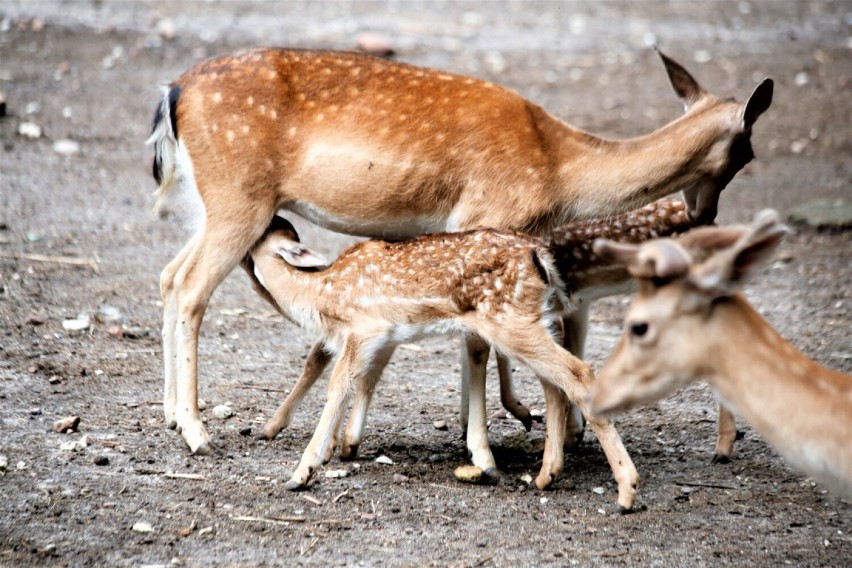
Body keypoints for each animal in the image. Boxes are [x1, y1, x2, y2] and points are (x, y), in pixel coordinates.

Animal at [146, 47, 772, 462]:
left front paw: (501, 421)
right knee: (193, 288)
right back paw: (198, 432)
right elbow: (477, 340)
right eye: (747, 151)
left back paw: (172, 415)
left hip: (211, 203)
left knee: (170, 275)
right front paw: (490, 439)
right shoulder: (486, 216)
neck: (560, 173)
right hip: (239, 197)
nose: (704, 214)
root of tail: (172, 92)